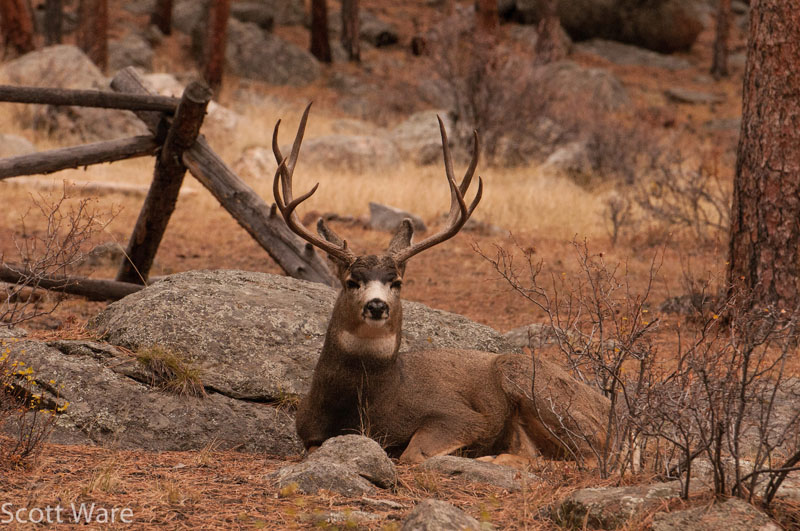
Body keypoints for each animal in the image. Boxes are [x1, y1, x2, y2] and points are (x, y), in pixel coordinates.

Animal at [271, 104, 611, 465]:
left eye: (397, 282)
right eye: (352, 281)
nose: (377, 306)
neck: (366, 406)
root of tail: (612, 411)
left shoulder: (461, 416)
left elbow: (413, 453)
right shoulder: (307, 431)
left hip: (523, 374)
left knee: (587, 457)